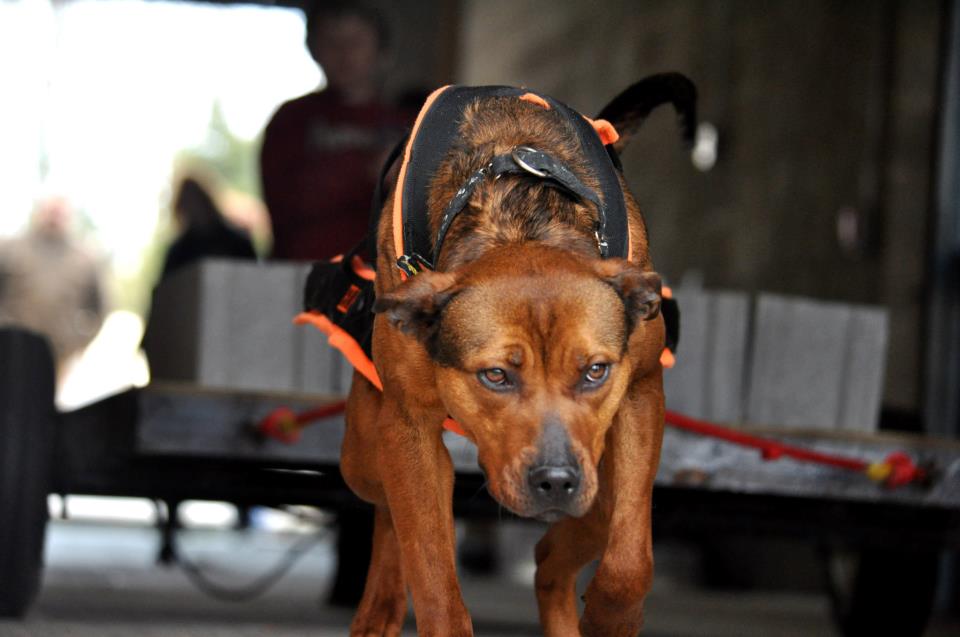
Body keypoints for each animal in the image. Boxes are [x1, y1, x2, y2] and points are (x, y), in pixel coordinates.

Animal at [340, 76, 696, 636]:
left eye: (595, 371)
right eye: (495, 376)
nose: (556, 481)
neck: (520, 220)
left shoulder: (639, 394)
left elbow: (629, 566)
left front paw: (610, 620)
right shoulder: (408, 429)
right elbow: (433, 579)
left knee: (560, 550)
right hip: (364, 455)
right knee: (393, 512)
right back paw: (380, 607)